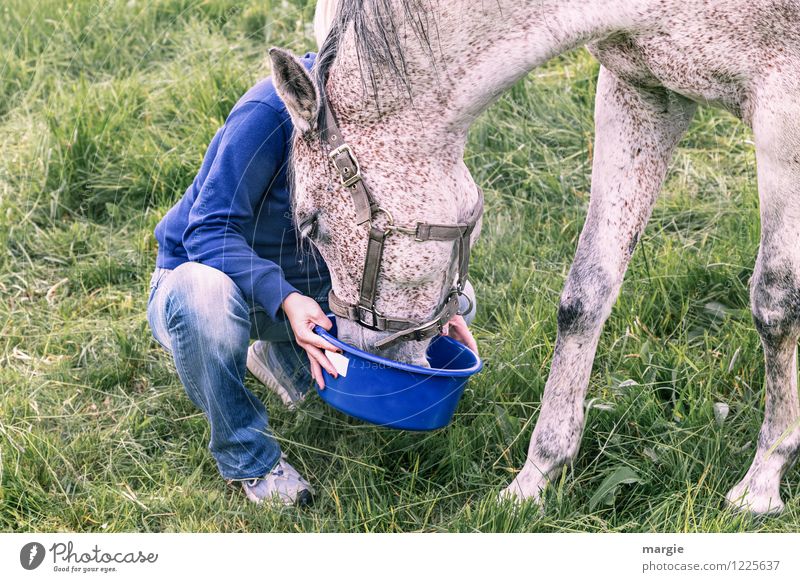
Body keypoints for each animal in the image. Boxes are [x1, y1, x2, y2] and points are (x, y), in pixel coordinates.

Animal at [268, 0, 800, 516]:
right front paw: (536, 477)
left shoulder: (783, 113)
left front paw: (764, 478)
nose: (352, 346)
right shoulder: (641, 93)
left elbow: (775, 304)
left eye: (310, 224)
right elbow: (585, 296)